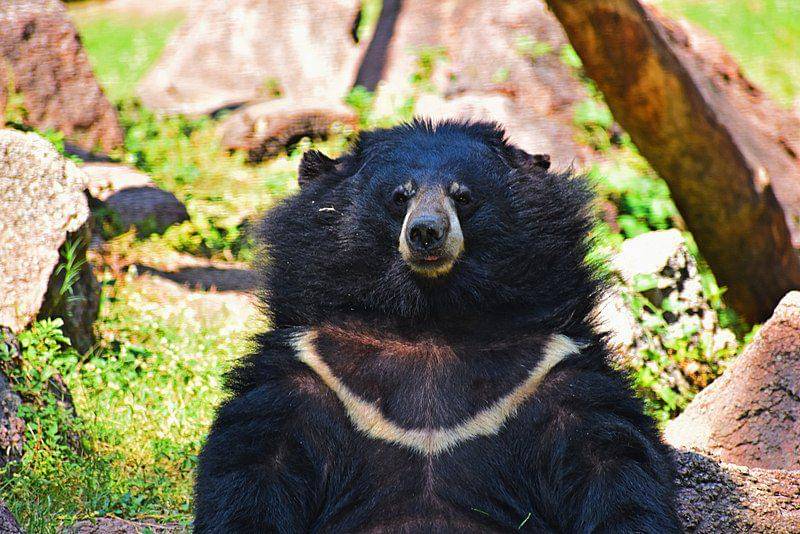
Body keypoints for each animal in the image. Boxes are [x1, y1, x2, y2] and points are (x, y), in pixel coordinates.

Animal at [194, 120, 680, 533]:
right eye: (399, 196)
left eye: (462, 195)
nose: (427, 232)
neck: (431, 317)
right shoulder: (311, 366)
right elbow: (256, 460)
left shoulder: (551, 368)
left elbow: (612, 462)